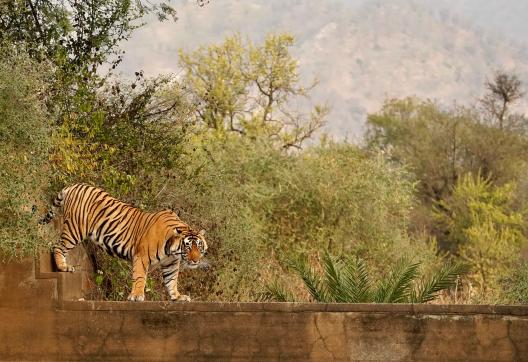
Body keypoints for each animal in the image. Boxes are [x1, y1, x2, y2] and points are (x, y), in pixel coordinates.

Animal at [38, 182, 208, 302]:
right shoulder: (141, 257)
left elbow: (172, 281)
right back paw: (63, 267)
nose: (195, 261)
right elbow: (140, 277)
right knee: (58, 246)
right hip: (75, 229)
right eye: (187, 246)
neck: (172, 251)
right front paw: (137, 296)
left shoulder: (171, 264)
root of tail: (73, 185)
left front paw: (177, 297)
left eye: (199, 246)